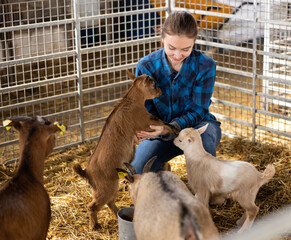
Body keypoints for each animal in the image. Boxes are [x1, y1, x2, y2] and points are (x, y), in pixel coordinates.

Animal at [74, 70, 180, 229]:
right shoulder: (145, 123)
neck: (131, 101)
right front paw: (176, 129)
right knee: (93, 205)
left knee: (109, 202)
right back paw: (94, 226)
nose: (160, 91)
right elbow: (163, 123)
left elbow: (162, 121)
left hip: (110, 185)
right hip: (105, 187)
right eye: (153, 84)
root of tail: (86, 172)